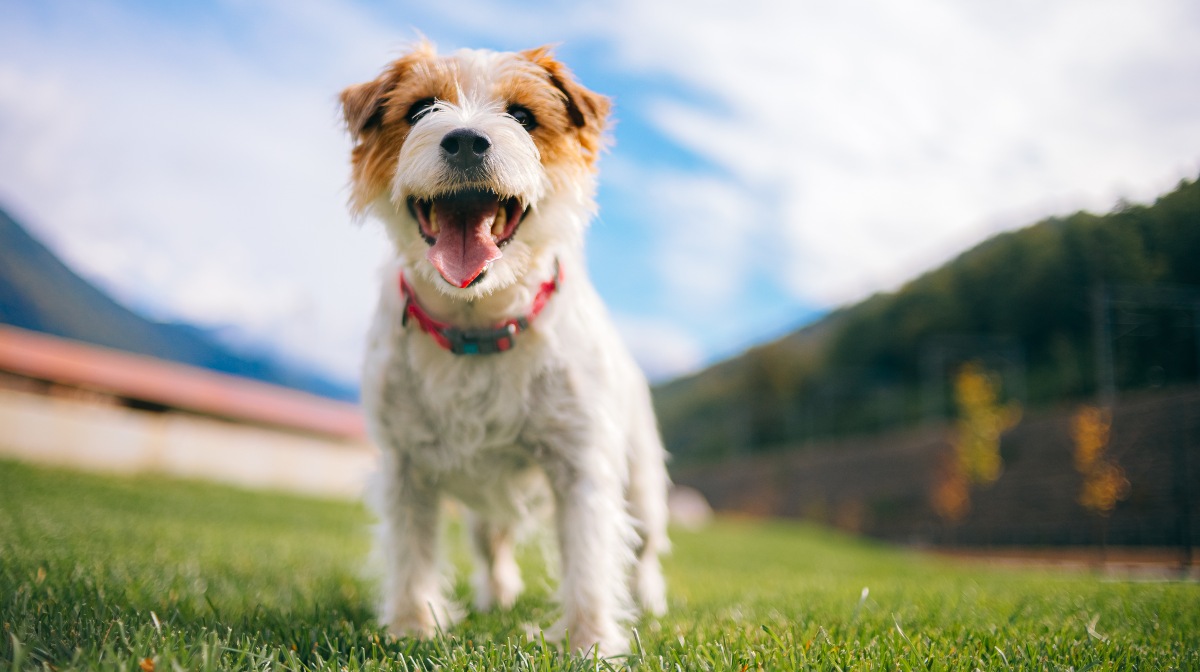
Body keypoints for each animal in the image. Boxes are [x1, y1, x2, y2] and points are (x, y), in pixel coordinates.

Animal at [343, 42, 672, 657]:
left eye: (523, 115)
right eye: (421, 108)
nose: (466, 140)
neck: (476, 325)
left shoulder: (580, 463)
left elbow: (589, 561)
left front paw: (590, 645)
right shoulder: (405, 466)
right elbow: (412, 552)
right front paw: (412, 629)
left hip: (642, 483)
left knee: (644, 549)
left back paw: (652, 600)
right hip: (483, 501)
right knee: (491, 542)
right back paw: (496, 596)